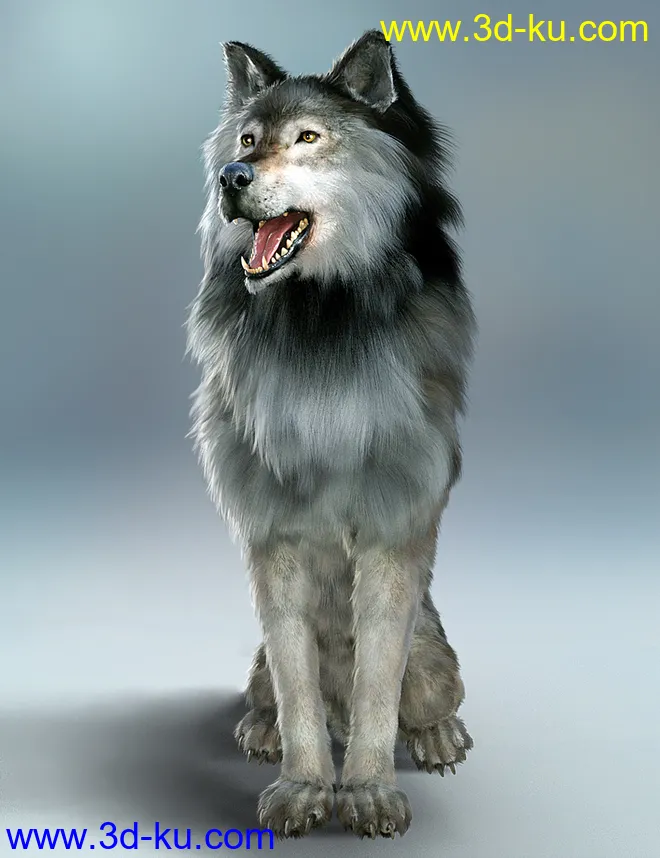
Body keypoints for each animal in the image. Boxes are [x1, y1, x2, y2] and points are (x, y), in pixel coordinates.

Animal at [186, 29, 477, 839]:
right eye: (247, 139)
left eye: (309, 139)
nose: (230, 177)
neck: (318, 330)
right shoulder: (274, 537)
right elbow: (297, 686)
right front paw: (305, 788)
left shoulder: (391, 533)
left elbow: (380, 682)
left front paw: (368, 792)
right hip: (255, 661)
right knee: (269, 689)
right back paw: (260, 731)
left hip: (437, 656)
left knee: (425, 692)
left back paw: (438, 736)